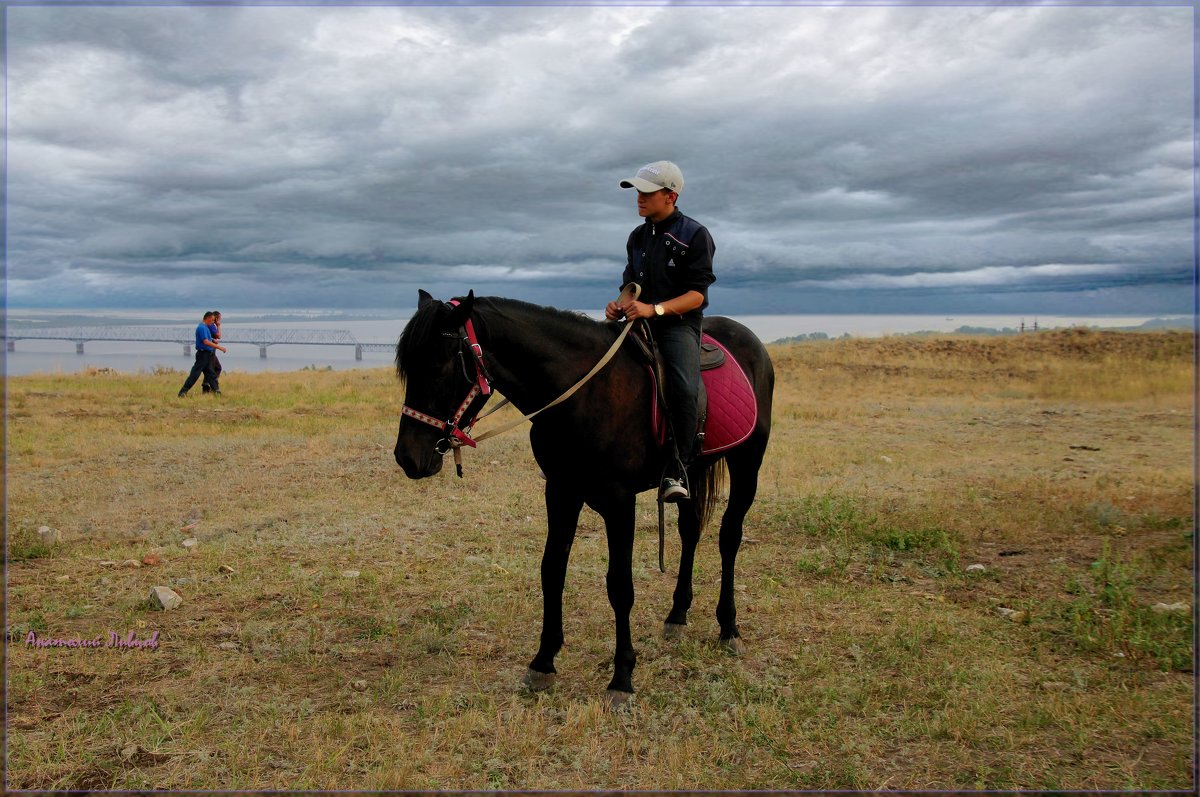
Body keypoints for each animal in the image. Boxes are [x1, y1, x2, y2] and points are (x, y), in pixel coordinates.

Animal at [391, 291, 768, 705]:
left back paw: (729, 627)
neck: (583, 394)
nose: (407, 457)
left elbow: (620, 586)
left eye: (440, 367)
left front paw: (622, 677)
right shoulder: (560, 491)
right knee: (690, 531)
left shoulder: (619, 502)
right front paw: (543, 662)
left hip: (748, 462)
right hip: (693, 470)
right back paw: (677, 615)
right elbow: (552, 571)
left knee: (729, 537)